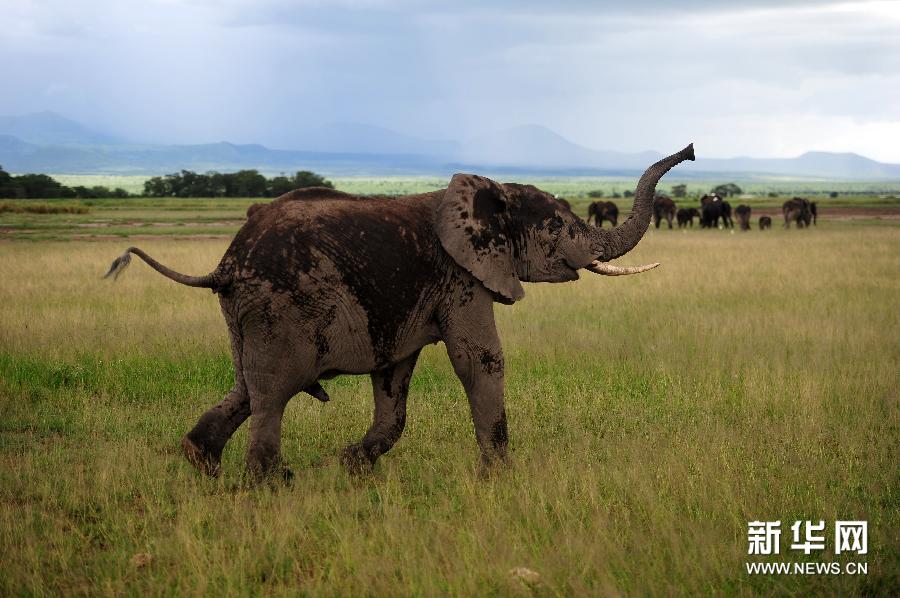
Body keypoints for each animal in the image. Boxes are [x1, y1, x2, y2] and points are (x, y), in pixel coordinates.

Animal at [105, 143, 696, 480]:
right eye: (560, 225)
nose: (690, 149)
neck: (488, 194)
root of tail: (225, 263)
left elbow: (394, 378)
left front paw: (350, 467)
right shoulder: (462, 275)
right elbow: (480, 360)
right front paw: (499, 480)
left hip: (244, 311)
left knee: (246, 385)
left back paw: (199, 463)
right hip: (280, 305)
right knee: (273, 390)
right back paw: (269, 485)